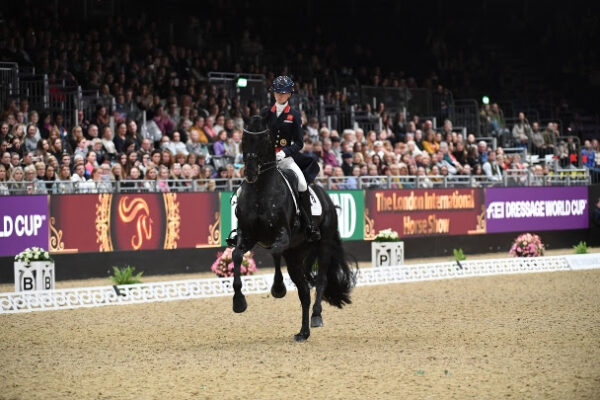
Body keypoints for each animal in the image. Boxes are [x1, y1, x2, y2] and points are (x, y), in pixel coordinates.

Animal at [227, 115, 354, 340]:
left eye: (264, 139)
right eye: (243, 138)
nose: (250, 172)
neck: (260, 190)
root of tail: (326, 196)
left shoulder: (282, 235)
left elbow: (275, 252)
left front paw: (278, 288)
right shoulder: (247, 236)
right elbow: (236, 256)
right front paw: (239, 302)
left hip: (323, 245)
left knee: (320, 280)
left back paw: (316, 317)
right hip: (298, 251)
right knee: (304, 290)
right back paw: (303, 332)